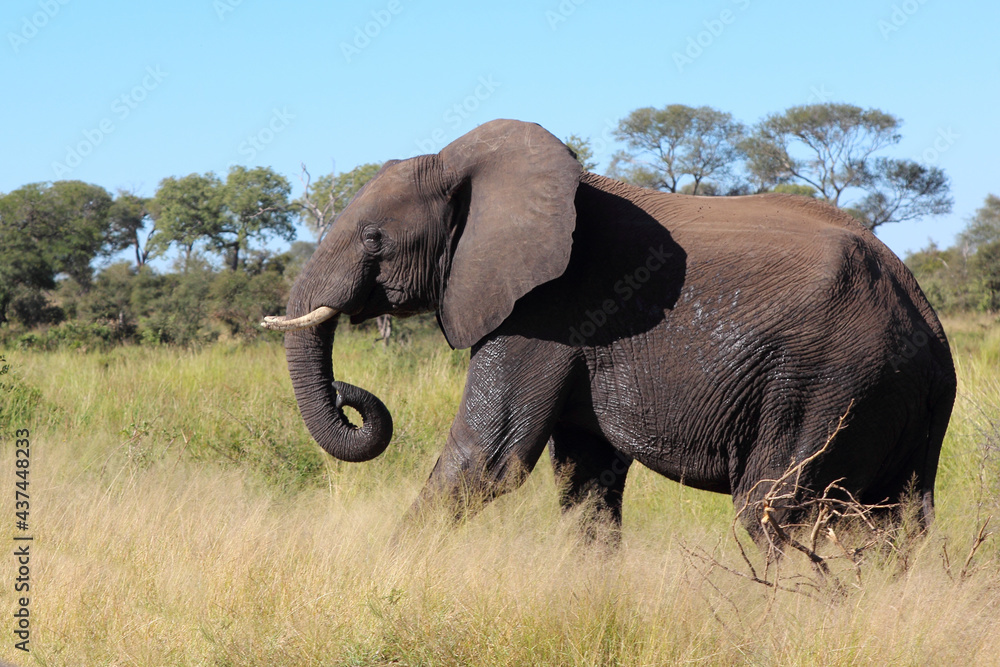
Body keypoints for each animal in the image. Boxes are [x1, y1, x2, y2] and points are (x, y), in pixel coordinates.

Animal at [262, 119, 956, 546]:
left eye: (372, 238)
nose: (351, 396)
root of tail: (926, 317)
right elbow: (585, 480)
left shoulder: (545, 308)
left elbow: (486, 458)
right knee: (893, 526)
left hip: (824, 384)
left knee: (769, 514)